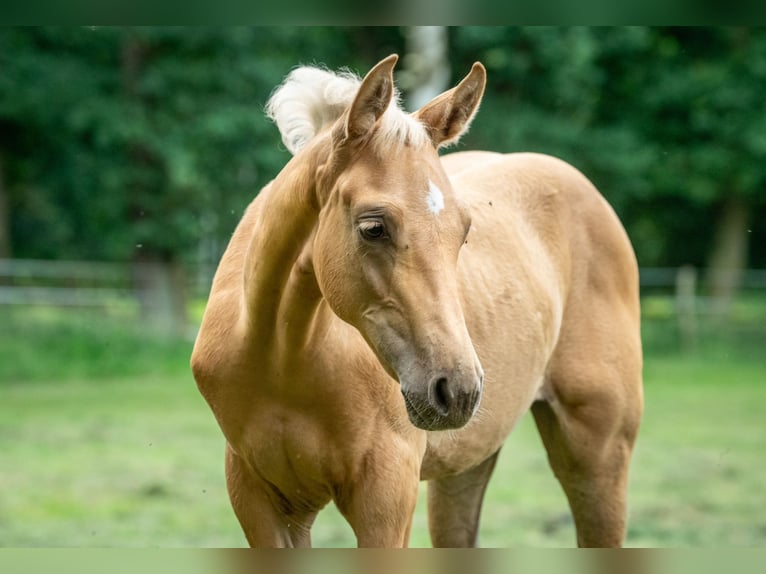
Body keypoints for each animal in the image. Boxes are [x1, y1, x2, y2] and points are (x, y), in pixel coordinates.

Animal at [192, 56, 640, 552]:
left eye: (464, 231)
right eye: (373, 227)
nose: (457, 388)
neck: (282, 360)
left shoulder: (385, 495)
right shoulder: (260, 499)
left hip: (598, 454)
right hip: (466, 467)